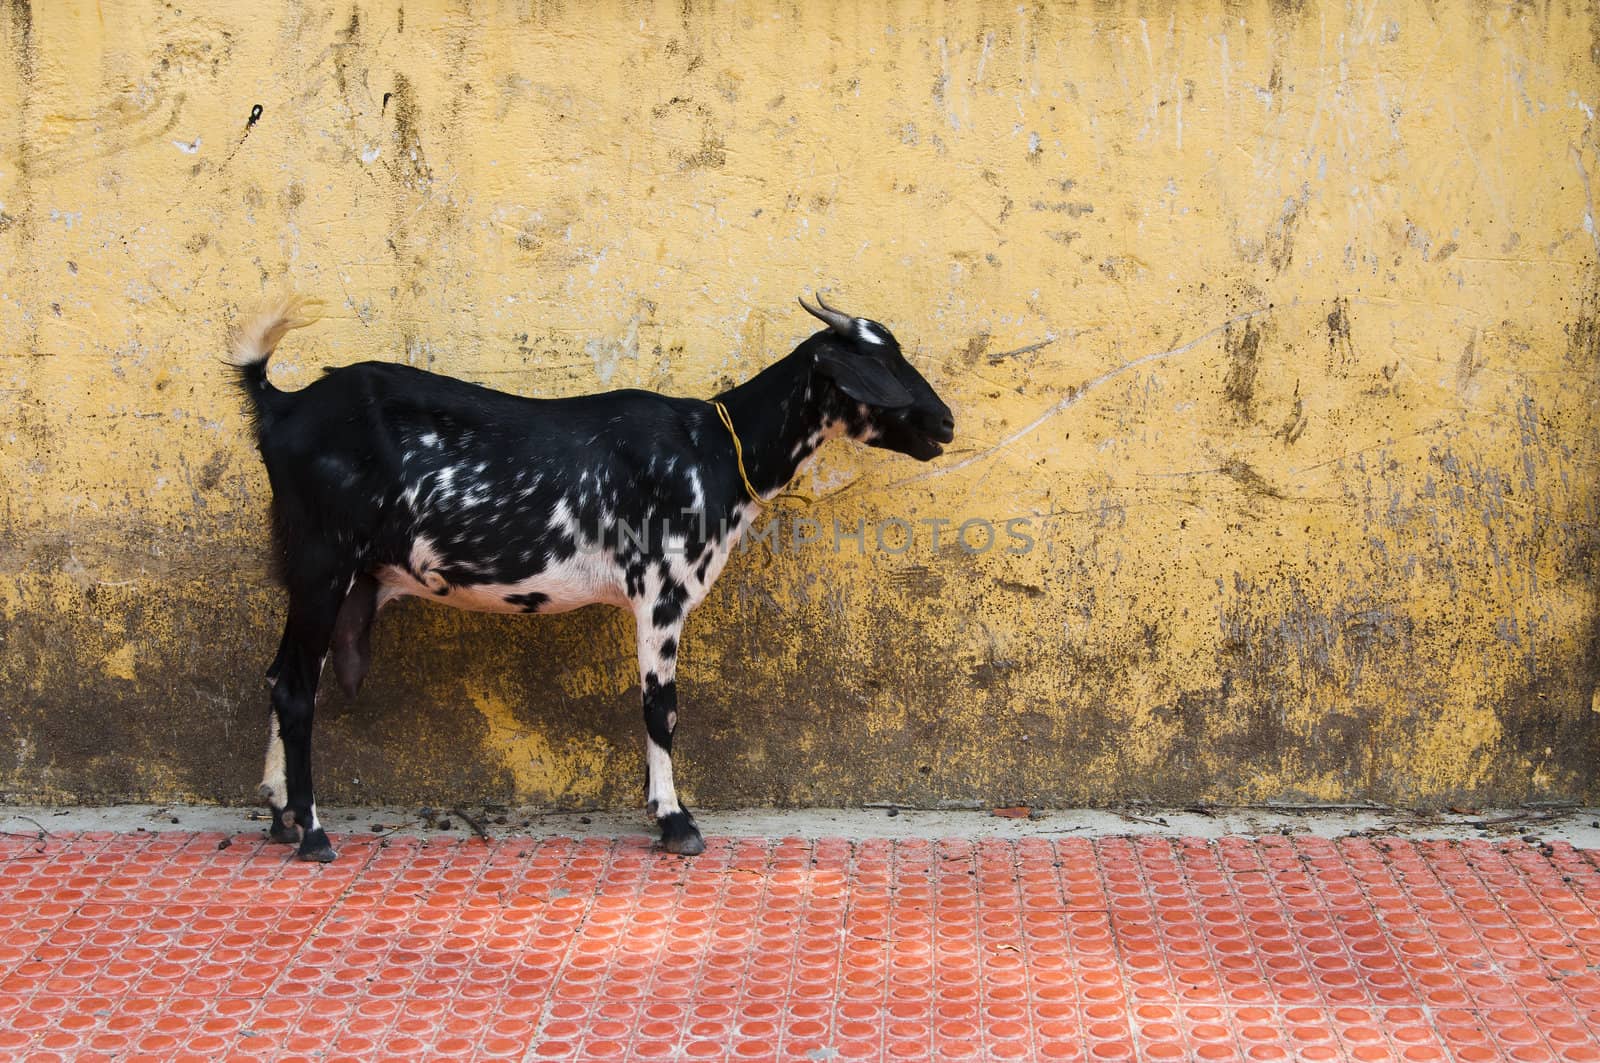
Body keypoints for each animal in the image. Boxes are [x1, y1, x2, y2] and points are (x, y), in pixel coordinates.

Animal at [225, 292, 947, 864]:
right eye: (879, 366)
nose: (945, 422)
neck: (711, 448)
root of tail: (279, 407)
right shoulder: (661, 593)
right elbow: (661, 708)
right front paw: (675, 822)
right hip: (322, 561)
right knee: (294, 688)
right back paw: (314, 832)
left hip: (326, 575)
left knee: (286, 675)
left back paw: (280, 814)